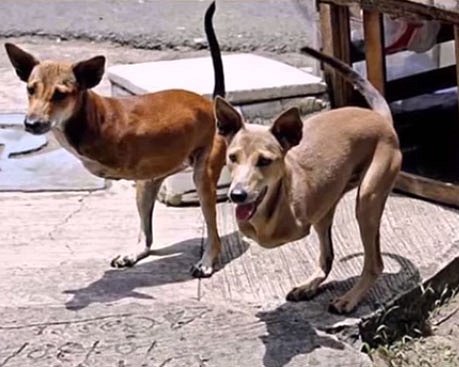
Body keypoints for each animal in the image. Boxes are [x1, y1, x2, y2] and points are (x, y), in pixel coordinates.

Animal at [3, 1, 226, 278]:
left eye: (60, 95)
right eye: (30, 89)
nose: (31, 123)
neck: (87, 117)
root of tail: (210, 104)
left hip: (202, 177)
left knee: (213, 231)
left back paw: (207, 260)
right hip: (147, 186)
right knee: (147, 236)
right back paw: (134, 253)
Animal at [216, 46, 402, 314]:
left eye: (264, 160)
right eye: (232, 157)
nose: (237, 195)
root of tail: (380, 118)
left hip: (368, 200)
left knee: (374, 263)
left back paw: (349, 298)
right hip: (330, 209)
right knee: (327, 257)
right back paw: (309, 286)